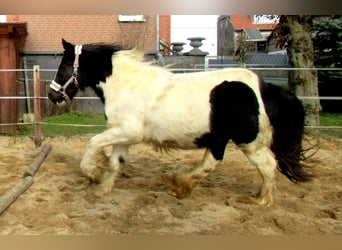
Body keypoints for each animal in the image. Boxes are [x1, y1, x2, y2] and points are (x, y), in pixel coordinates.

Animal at [48, 39, 312, 207]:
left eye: (65, 65)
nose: (52, 95)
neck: (126, 85)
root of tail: (264, 88)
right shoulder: (125, 134)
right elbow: (115, 163)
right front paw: (103, 189)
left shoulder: (127, 131)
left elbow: (93, 143)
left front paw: (92, 174)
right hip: (220, 138)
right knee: (211, 163)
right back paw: (180, 186)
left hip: (249, 142)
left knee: (268, 165)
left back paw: (259, 200)